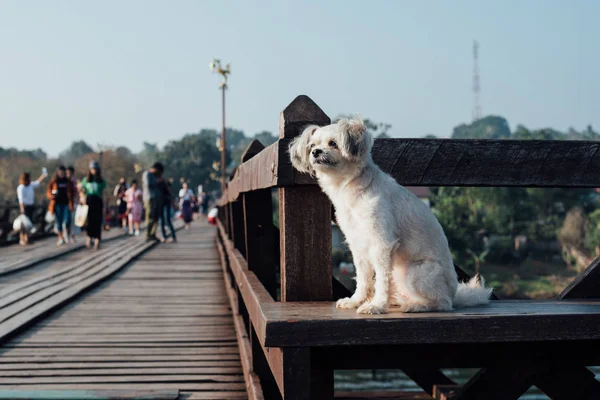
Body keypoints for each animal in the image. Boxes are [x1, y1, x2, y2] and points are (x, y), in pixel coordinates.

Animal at [290, 117, 492, 314]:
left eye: (333, 143)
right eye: (312, 145)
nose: (315, 152)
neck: (351, 187)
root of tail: (454, 293)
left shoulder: (382, 243)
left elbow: (381, 279)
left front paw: (376, 305)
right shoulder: (358, 244)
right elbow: (363, 277)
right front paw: (357, 301)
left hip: (411, 272)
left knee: (443, 303)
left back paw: (415, 306)